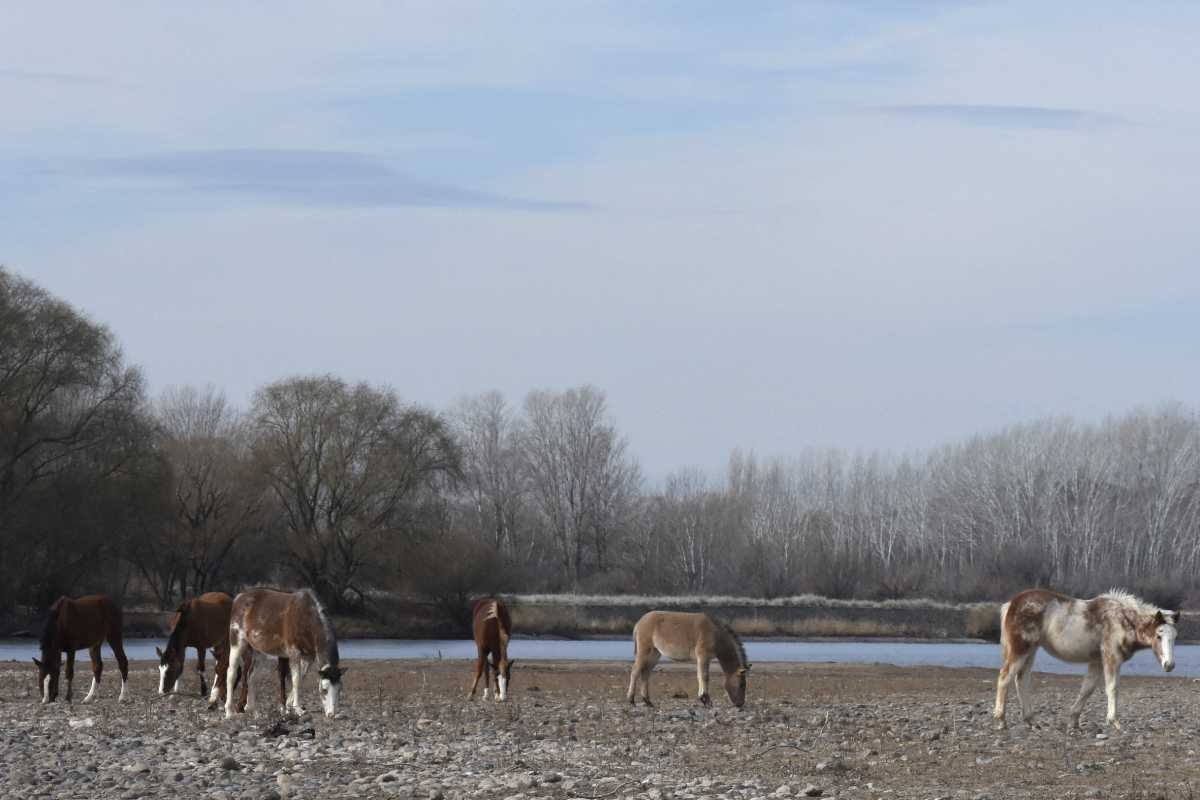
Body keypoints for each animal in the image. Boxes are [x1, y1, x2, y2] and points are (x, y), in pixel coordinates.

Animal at [224, 587, 343, 719]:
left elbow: (301, 677)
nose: (331, 714)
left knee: (251, 675)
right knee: (231, 673)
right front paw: (298, 709)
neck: (306, 618)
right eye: (324, 690)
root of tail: (239, 597)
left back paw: (253, 711)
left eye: (339, 690)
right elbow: (296, 680)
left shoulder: (308, 657)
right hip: (237, 642)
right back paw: (229, 712)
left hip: (258, 650)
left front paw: (288, 705)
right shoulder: (294, 653)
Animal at [993, 587, 1180, 734]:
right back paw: (1001, 720)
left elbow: (1087, 689)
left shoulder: (1096, 661)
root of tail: (1011, 603)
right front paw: (1114, 722)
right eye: (1159, 635)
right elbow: (1112, 688)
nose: (1169, 665)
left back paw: (1032, 721)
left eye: (1175, 637)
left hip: (1031, 650)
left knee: (1021, 679)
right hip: (1020, 650)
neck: (1122, 620)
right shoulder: (1111, 658)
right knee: (1005, 677)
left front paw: (1074, 723)